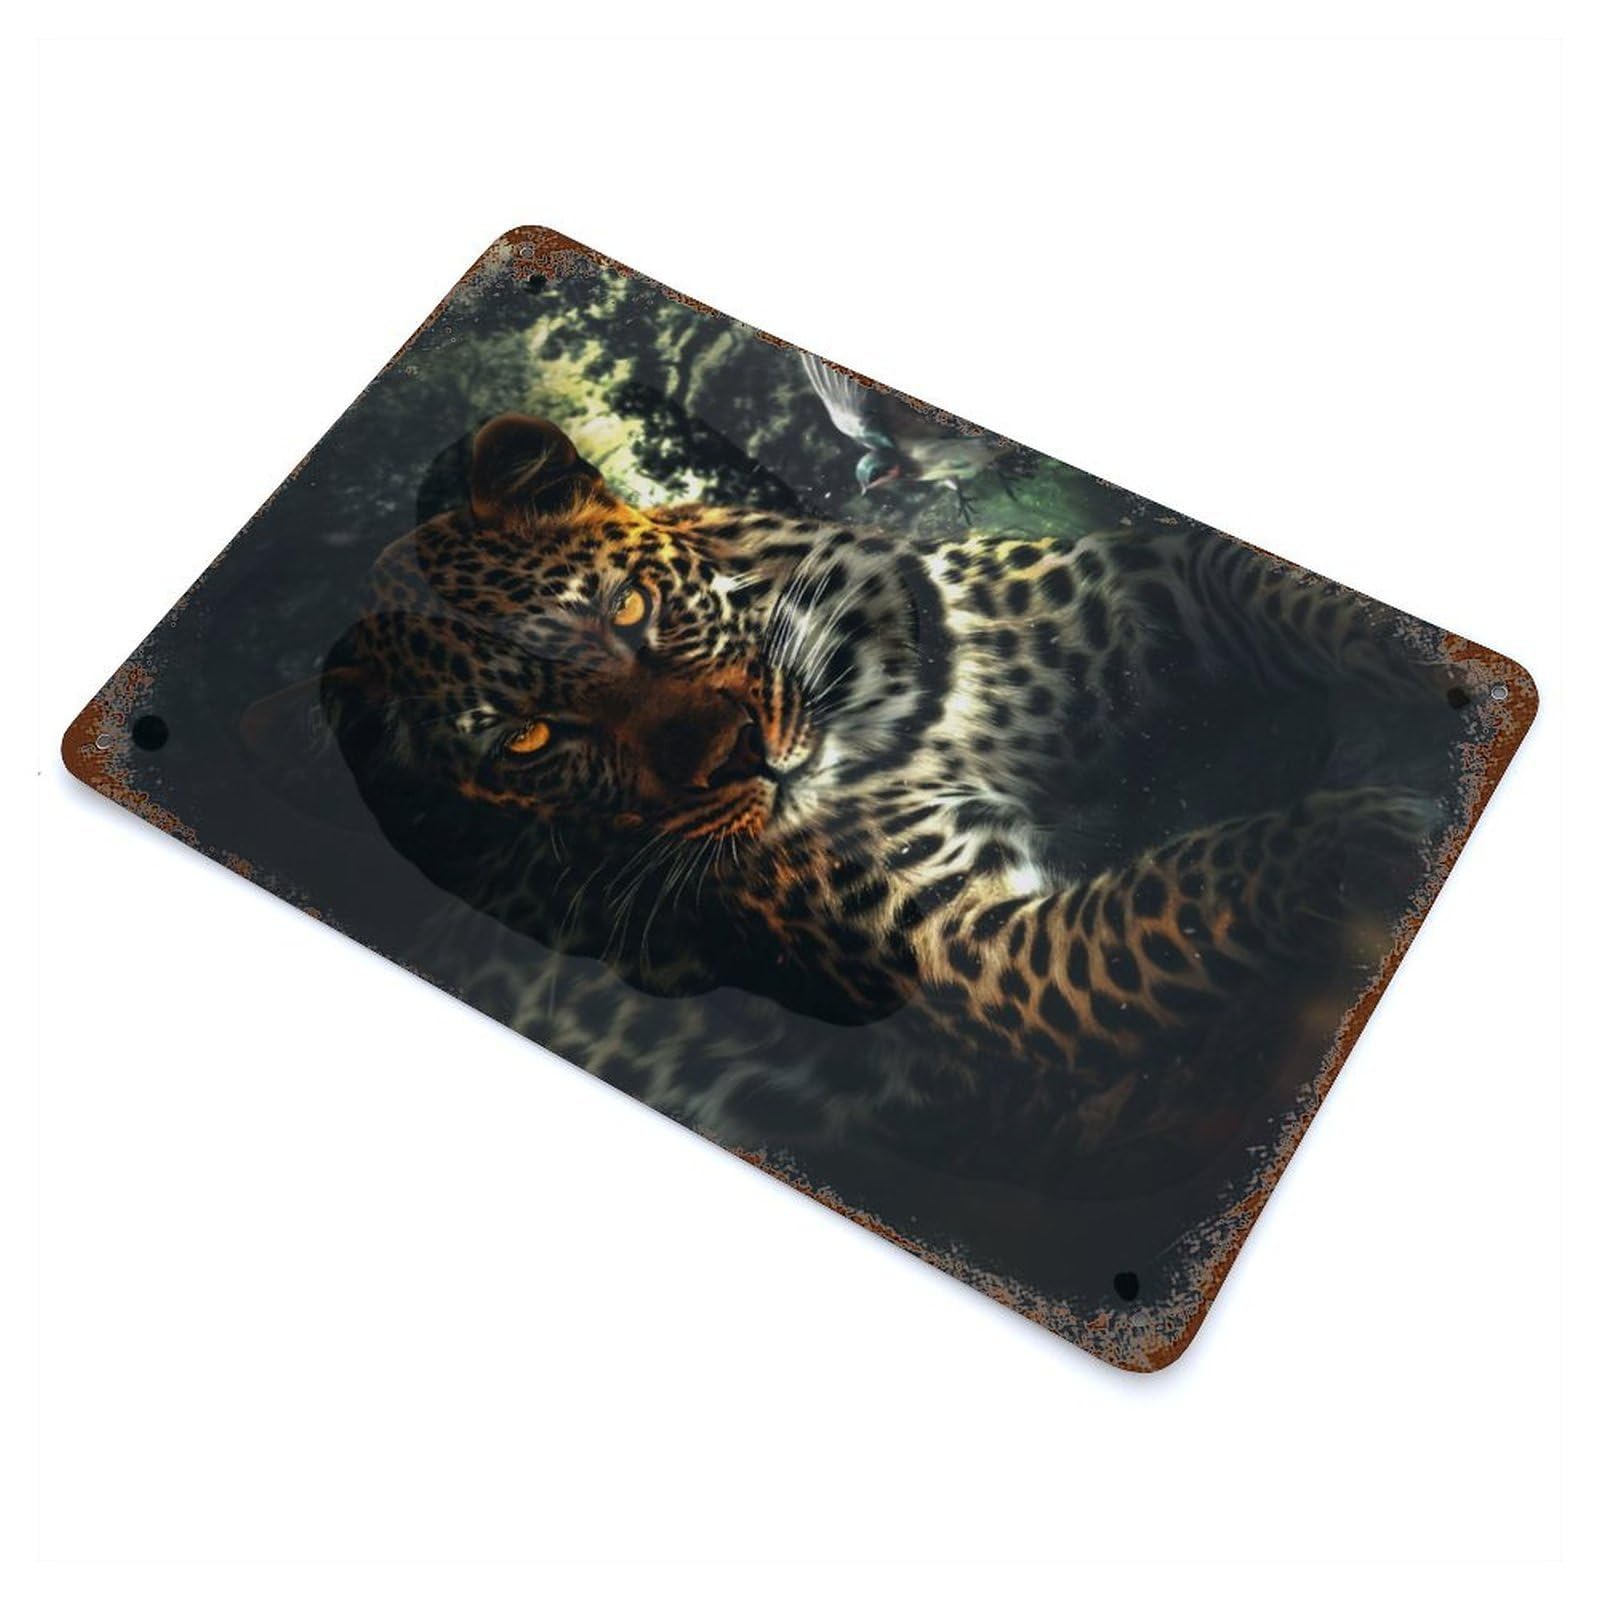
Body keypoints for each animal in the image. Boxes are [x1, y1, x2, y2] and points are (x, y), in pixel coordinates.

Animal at [297, 412, 1466, 1196]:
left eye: (626, 608)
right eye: (530, 740)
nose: (738, 759)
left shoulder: (1141, 593)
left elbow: (1280, 590)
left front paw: (1454, 688)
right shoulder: (978, 955)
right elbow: (1187, 884)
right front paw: (1377, 827)